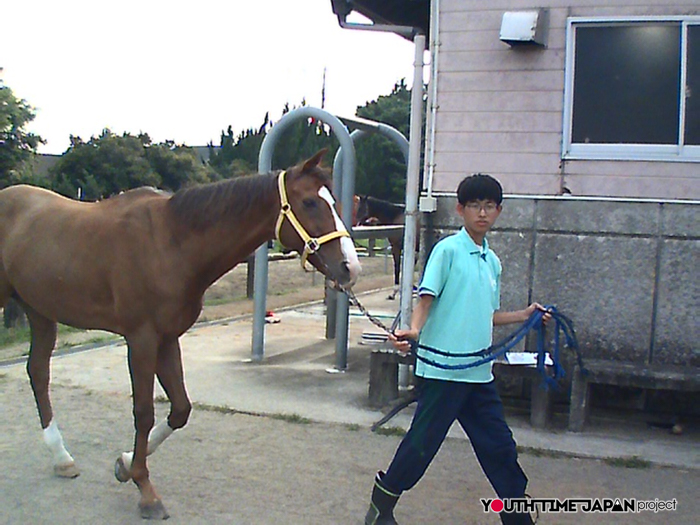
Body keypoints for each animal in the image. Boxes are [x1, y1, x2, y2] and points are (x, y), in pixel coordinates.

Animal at [0, 149, 360, 520]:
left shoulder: (167, 338)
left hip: (39, 311)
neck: (171, 242)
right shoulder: (141, 338)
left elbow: (180, 409)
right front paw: (145, 490)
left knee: (38, 372)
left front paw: (125, 464)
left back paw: (62, 458)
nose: (350, 267)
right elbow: (144, 412)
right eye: (309, 202)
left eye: (334, 202)